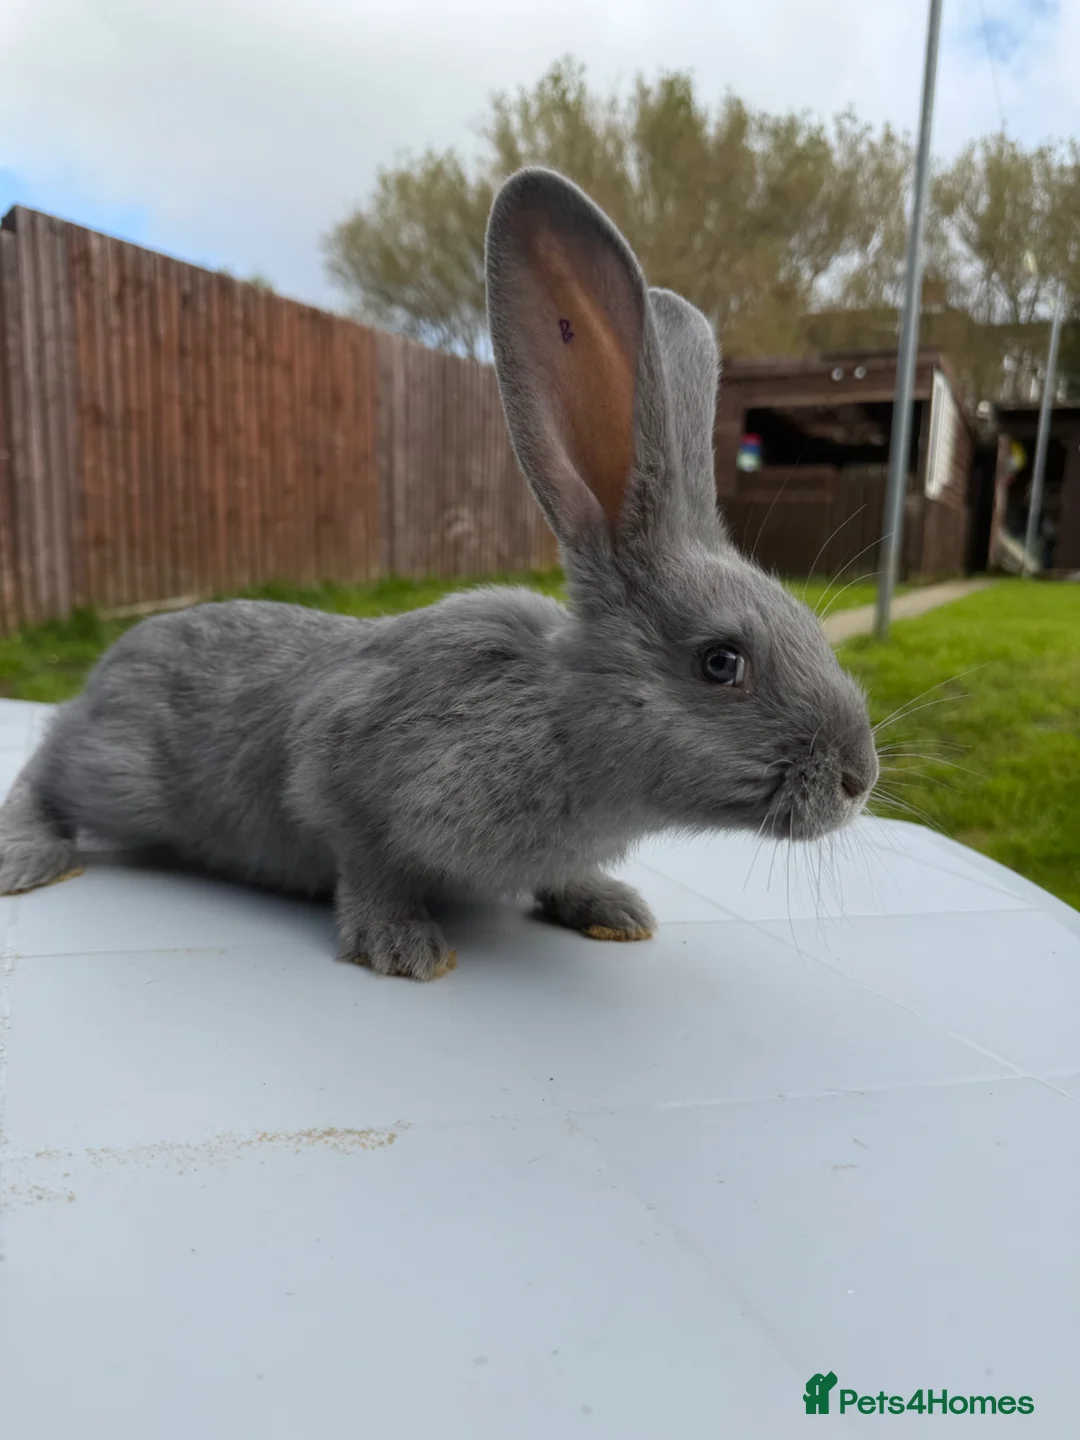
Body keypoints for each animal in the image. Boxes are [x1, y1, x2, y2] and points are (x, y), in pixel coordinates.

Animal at [0, 167, 879, 980]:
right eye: (721, 662)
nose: (858, 779)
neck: (559, 720)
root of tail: (109, 668)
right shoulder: (341, 774)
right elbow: (364, 860)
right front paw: (405, 947)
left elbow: (563, 878)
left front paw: (612, 909)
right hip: (116, 771)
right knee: (45, 769)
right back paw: (27, 859)